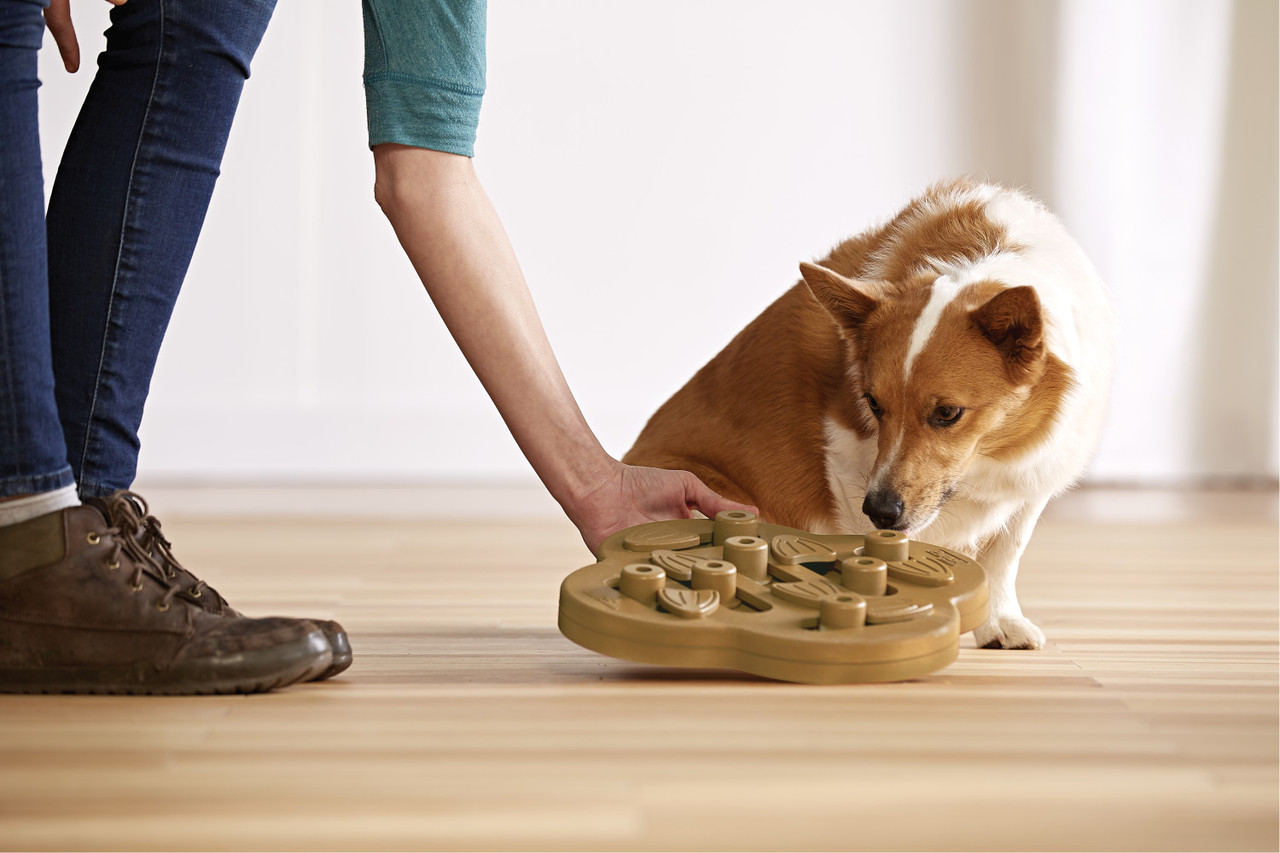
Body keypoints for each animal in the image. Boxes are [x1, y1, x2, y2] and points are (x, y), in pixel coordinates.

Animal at [624, 178, 1116, 645]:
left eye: (948, 413)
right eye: (873, 404)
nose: (882, 512)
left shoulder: (1034, 478)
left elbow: (1004, 553)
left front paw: (1000, 623)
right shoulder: (846, 465)